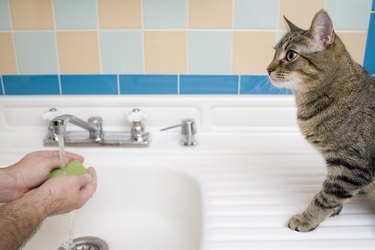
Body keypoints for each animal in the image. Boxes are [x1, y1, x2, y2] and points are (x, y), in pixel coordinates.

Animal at [268, 9, 375, 232]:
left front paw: (307, 219)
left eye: (290, 55)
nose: (268, 68)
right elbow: (331, 193)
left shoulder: (352, 166)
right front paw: (333, 210)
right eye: (274, 52)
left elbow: (326, 197)